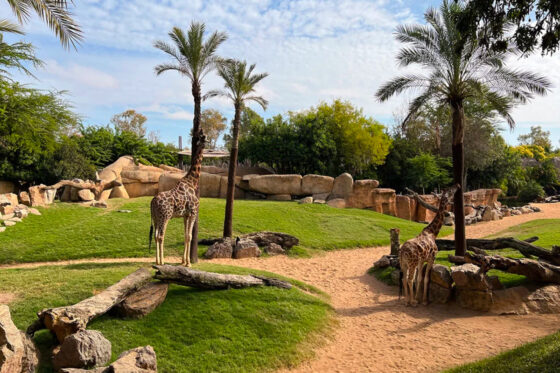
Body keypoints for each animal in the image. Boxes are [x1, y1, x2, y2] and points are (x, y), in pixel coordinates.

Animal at [150, 133, 207, 264]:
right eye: (204, 138)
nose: (206, 145)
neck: (192, 182)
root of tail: (153, 202)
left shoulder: (185, 215)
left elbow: (185, 235)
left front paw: (183, 261)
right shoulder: (193, 212)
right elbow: (190, 236)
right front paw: (188, 263)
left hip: (155, 217)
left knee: (155, 236)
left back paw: (157, 260)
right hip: (165, 216)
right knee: (160, 236)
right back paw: (162, 261)